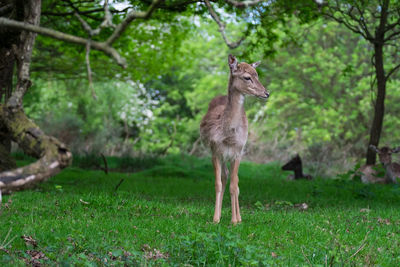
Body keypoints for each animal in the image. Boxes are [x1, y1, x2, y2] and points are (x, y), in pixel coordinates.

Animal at [199, 54, 268, 224]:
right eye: (247, 77)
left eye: (257, 74)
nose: (266, 93)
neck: (228, 136)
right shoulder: (216, 151)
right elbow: (218, 183)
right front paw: (215, 218)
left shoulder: (238, 153)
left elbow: (234, 185)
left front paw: (235, 220)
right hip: (223, 156)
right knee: (225, 177)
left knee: (235, 182)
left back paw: (239, 217)